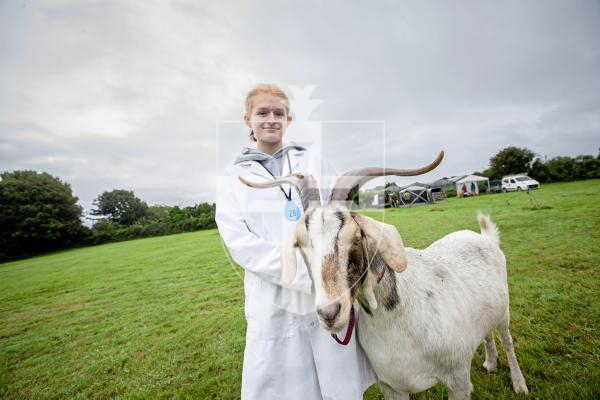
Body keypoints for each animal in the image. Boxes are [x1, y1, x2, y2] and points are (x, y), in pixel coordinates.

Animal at [239, 152, 528, 398]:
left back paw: (519, 384)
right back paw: (490, 363)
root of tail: (482, 237)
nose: (330, 314)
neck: (396, 318)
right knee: (487, 333)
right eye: (301, 245)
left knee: (507, 340)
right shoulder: (390, 386)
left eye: (356, 239)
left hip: (504, 310)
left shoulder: (457, 380)